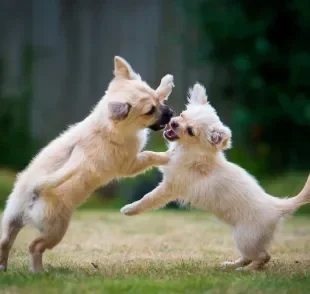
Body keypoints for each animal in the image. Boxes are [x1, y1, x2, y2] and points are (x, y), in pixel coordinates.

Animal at [0, 56, 174, 272]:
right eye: (150, 111)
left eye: (159, 102)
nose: (171, 112)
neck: (108, 127)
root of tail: (32, 192)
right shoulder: (129, 164)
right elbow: (150, 155)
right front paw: (167, 155)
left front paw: (166, 83)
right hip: (55, 230)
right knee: (35, 246)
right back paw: (38, 271)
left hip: (10, 218)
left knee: (5, 241)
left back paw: (4, 267)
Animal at [121, 82, 310, 272]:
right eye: (182, 115)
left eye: (190, 131)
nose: (173, 122)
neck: (192, 152)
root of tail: (277, 206)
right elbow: (159, 158)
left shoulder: (169, 187)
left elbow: (149, 198)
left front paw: (130, 209)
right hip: (241, 237)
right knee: (249, 256)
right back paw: (232, 265)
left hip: (245, 237)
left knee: (263, 257)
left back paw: (246, 270)